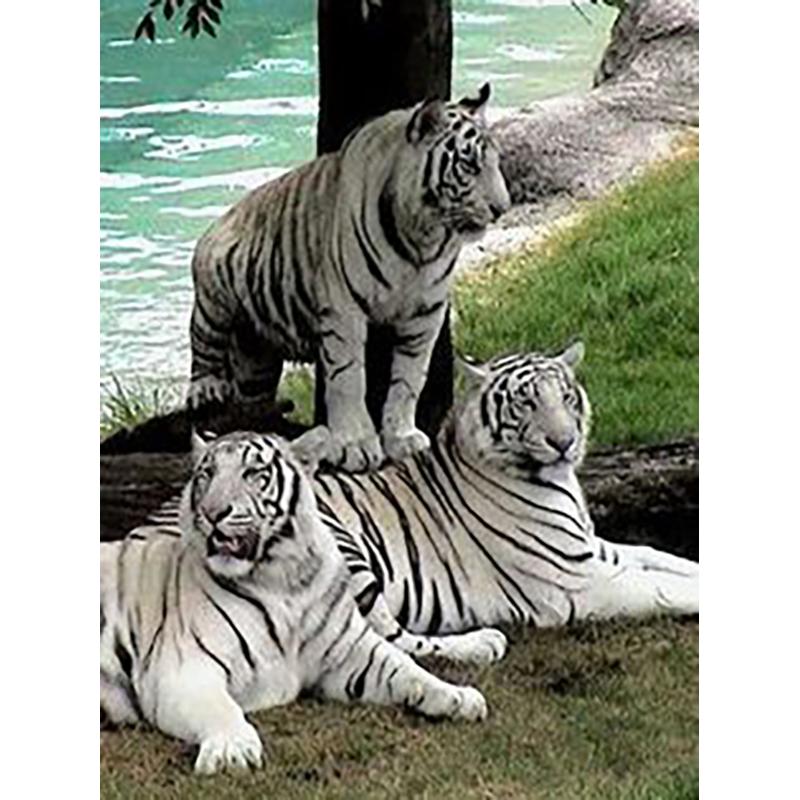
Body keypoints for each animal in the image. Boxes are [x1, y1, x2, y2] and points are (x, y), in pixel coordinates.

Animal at [100, 432, 488, 776]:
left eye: (253, 474)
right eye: (206, 475)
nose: (212, 512)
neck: (283, 579)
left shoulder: (351, 654)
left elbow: (407, 669)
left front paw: (458, 696)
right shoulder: (182, 669)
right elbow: (220, 708)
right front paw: (231, 750)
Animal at [147, 343, 698, 663]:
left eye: (565, 396)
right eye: (526, 403)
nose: (565, 442)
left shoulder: (598, 550)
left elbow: (664, 559)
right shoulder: (578, 583)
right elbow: (662, 589)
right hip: (347, 554)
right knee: (391, 639)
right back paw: (482, 644)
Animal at [186, 82, 511, 473]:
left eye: (494, 163)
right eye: (468, 165)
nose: (502, 208)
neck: (423, 238)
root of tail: (224, 217)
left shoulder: (426, 314)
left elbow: (409, 379)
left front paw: (401, 438)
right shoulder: (344, 310)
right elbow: (348, 379)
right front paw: (356, 445)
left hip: (256, 356)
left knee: (252, 394)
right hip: (214, 294)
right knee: (202, 345)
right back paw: (206, 388)